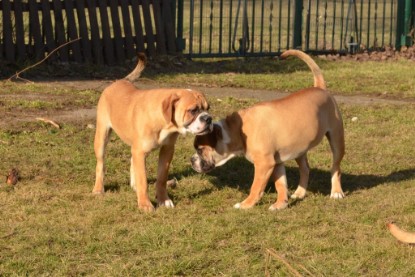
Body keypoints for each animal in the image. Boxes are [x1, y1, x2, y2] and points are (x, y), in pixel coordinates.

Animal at [93, 56, 213, 211]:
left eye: (208, 108)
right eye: (193, 110)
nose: (208, 118)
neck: (165, 123)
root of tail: (119, 81)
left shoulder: (167, 150)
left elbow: (161, 178)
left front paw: (163, 200)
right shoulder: (140, 152)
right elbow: (143, 180)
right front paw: (145, 204)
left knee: (132, 161)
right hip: (102, 136)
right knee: (100, 164)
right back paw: (98, 189)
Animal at [192, 49, 344, 209]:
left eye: (200, 150)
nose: (192, 160)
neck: (238, 130)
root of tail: (320, 88)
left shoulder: (264, 164)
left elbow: (256, 187)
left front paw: (246, 204)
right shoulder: (276, 162)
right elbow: (281, 184)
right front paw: (281, 204)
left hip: (336, 138)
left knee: (336, 167)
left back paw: (336, 192)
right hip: (300, 148)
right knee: (305, 169)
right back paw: (299, 193)